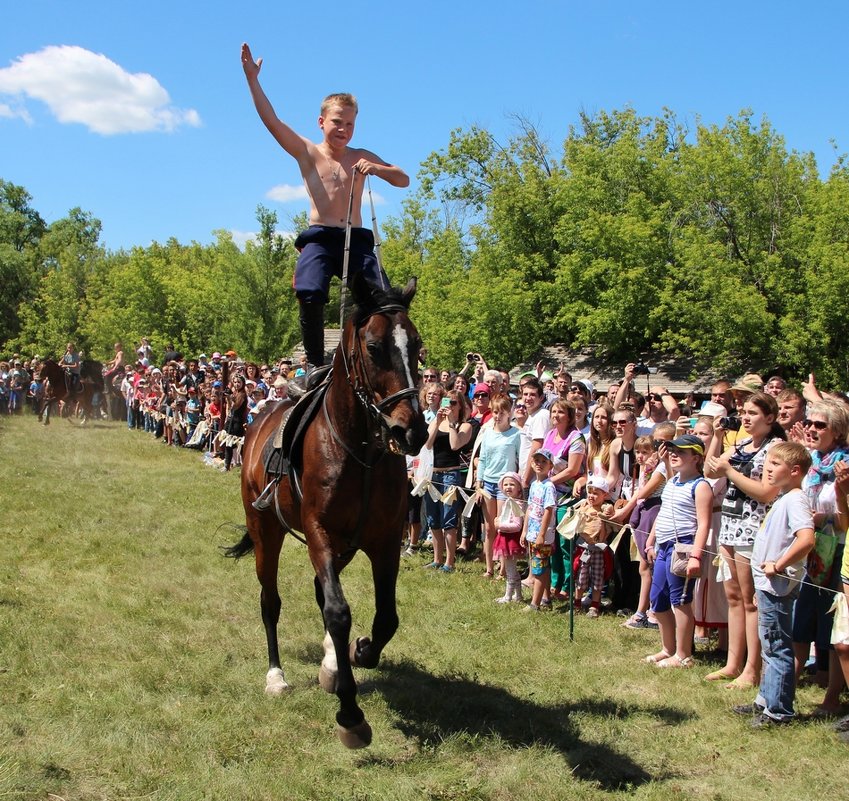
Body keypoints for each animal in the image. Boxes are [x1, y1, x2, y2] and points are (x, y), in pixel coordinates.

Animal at [227, 276, 428, 752]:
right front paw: (351, 715)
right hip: (267, 532)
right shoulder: (318, 533)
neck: (360, 450)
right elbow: (338, 611)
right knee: (271, 601)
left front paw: (358, 652)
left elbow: (385, 617)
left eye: (417, 345)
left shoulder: (383, 542)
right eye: (374, 347)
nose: (413, 430)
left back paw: (334, 662)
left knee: (322, 594)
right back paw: (277, 675)